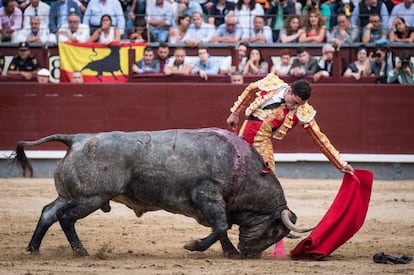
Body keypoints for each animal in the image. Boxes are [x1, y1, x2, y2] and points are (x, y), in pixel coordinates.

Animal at [13, 128, 310, 260]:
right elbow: (221, 226)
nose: (251, 254)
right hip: (91, 198)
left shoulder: (216, 206)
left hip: (70, 195)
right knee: (66, 218)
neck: (242, 169)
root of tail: (76, 139)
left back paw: (33, 248)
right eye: (275, 231)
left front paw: (231, 251)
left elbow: (222, 228)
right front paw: (194, 246)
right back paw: (81, 251)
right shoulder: (208, 196)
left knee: (48, 212)